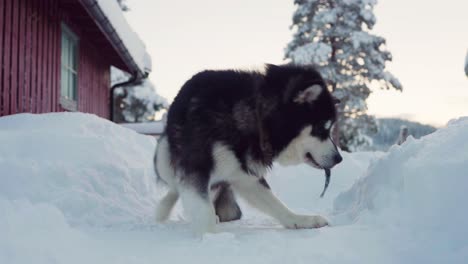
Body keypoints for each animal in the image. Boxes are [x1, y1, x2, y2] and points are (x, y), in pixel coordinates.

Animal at [155, 64, 342, 233]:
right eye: (322, 129)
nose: (339, 159)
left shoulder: (243, 174)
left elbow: (274, 203)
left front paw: (300, 220)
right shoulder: (196, 166)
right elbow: (203, 209)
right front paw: (212, 237)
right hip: (164, 157)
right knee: (175, 186)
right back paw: (163, 211)